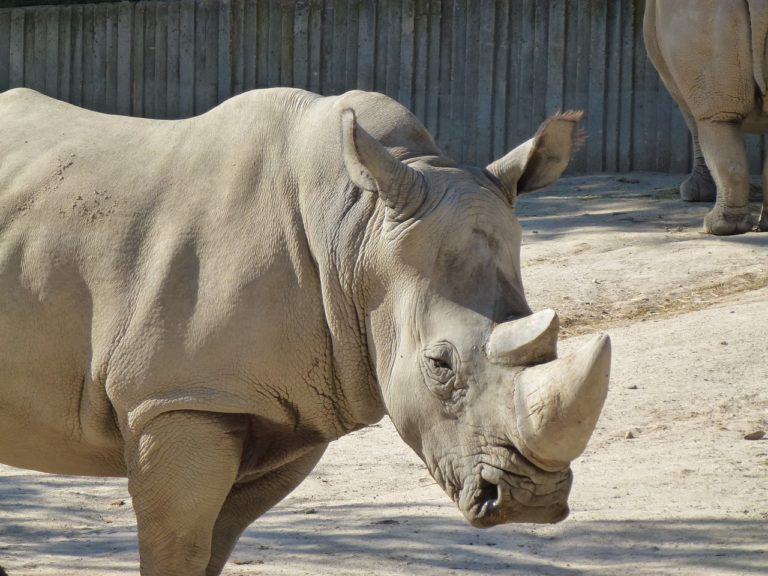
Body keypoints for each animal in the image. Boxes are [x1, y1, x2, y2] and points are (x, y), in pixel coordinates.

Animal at [0, 86, 610, 575]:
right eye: (439, 365)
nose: (531, 500)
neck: (357, 231)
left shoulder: (283, 411)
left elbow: (213, 544)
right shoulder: (179, 397)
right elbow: (178, 545)